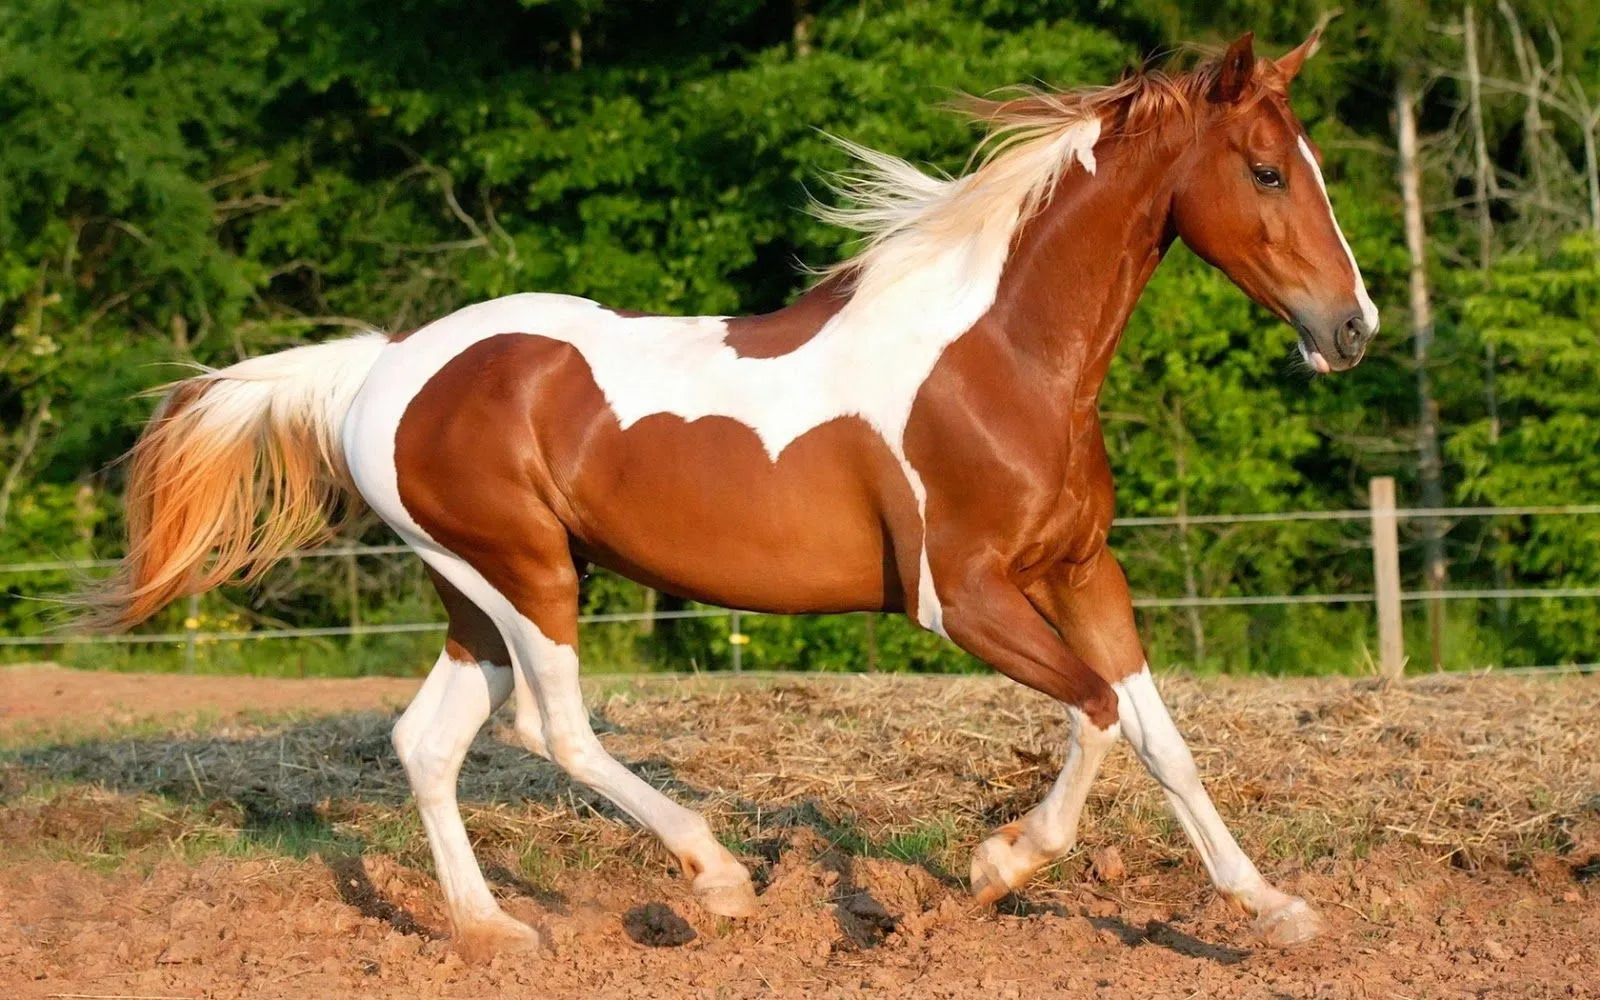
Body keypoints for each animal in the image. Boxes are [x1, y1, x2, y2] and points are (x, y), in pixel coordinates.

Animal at [84, 28, 1376, 959]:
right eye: (1265, 170)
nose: (1351, 328)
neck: (1000, 358)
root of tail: (381, 365)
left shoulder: (1078, 570)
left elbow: (1160, 737)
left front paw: (1274, 911)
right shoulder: (960, 596)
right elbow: (1097, 713)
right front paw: (999, 862)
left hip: (475, 593)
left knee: (428, 742)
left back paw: (495, 930)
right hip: (526, 575)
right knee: (552, 728)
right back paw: (717, 878)